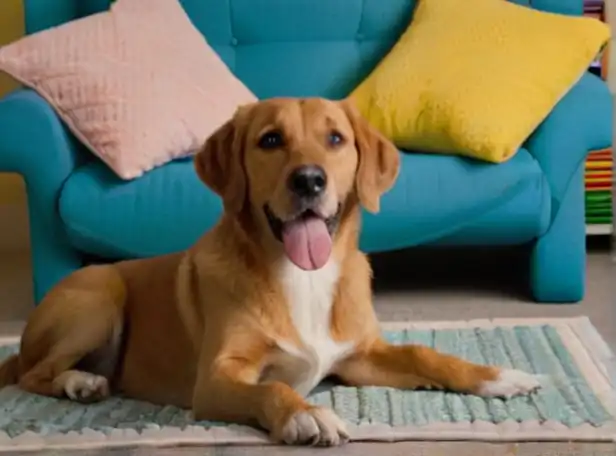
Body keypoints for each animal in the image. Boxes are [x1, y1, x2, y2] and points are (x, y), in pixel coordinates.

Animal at [0, 99, 540, 446]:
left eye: (336, 139)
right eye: (270, 140)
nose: (309, 180)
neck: (303, 277)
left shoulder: (359, 356)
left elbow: (425, 354)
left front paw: (497, 376)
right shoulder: (217, 378)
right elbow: (272, 387)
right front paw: (307, 416)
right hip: (100, 291)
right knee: (33, 373)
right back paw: (79, 383)